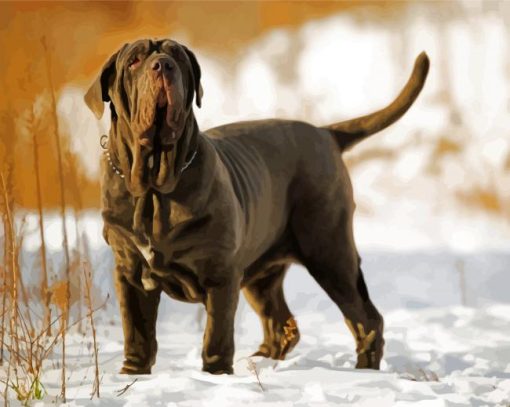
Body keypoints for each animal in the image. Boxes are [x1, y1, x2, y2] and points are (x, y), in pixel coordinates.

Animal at [84, 39, 430, 376]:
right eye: (134, 61)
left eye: (177, 57)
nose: (163, 65)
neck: (154, 189)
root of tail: (324, 132)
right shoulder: (130, 273)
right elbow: (137, 331)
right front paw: (133, 374)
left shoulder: (221, 275)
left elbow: (216, 334)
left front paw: (214, 375)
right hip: (263, 273)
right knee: (281, 324)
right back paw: (259, 362)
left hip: (330, 252)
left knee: (365, 318)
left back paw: (363, 373)